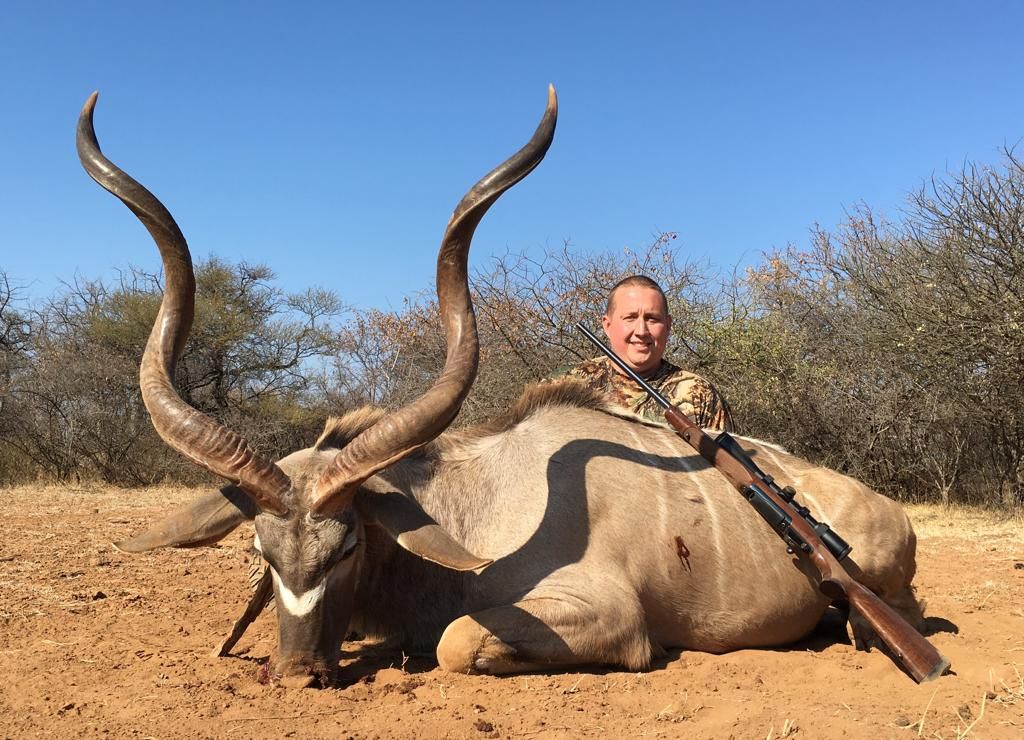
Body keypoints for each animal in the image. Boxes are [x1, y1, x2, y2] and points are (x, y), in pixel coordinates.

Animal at [77, 87, 927, 689]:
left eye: (348, 543)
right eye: (261, 546)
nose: (297, 674)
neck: (474, 508)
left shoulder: (606, 615)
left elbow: (456, 643)